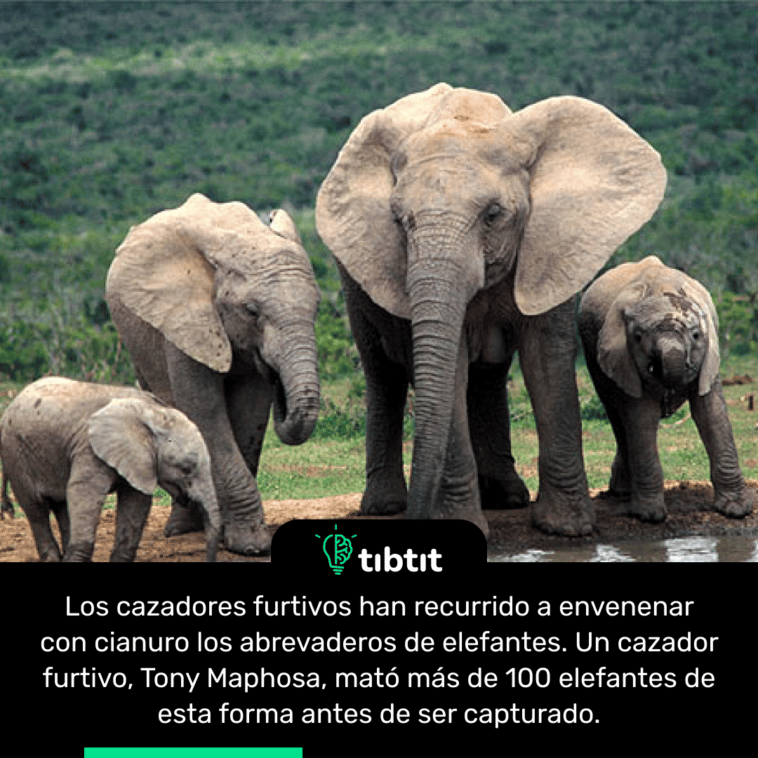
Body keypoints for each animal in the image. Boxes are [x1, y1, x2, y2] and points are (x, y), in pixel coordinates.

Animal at [0, 377, 221, 562]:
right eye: (186, 469)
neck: (152, 412)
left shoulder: (141, 461)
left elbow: (135, 503)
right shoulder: (89, 446)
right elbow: (84, 491)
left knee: (62, 504)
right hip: (15, 454)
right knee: (36, 509)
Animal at [105, 193, 321, 556]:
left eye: (317, 308)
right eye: (252, 312)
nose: (278, 379)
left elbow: (249, 414)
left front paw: (237, 538)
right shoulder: (184, 320)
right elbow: (205, 413)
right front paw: (251, 546)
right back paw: (181, 530)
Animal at [315, 83, 666, 538]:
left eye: (494, 215)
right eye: (399, 221)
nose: (417, 515)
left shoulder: (550, 245)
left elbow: (545, 359)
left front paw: (566, 529)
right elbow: (450, 367)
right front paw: (462, 522)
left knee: (488, 374)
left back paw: (506, 497)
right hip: (352, 280)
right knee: (383, 374)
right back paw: (386, 506)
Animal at [578, 255, 755, 522]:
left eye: (695, 335)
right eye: (638, 338)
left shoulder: (709, 355)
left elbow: (710, 413)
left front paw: (736, 510)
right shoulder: (624, 358)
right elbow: (642, 417)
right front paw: (650, 516)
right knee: (616, 414)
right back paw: (622, 492)